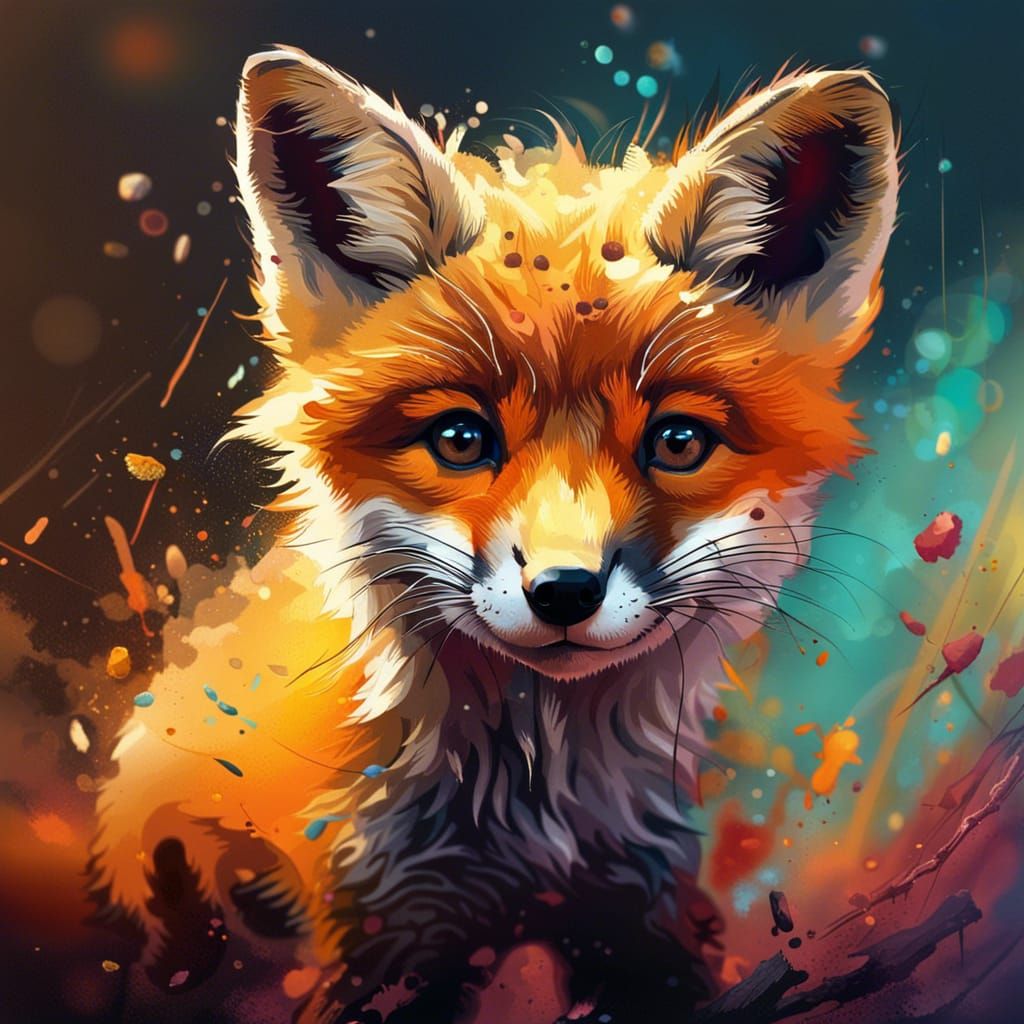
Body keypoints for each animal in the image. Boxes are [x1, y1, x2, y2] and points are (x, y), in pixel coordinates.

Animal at [90, 47, 898, 1024]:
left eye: (678, 441)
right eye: (460, 439)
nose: (564, 592)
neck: (535, 822)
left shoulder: (640, 911)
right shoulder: (383, 933)